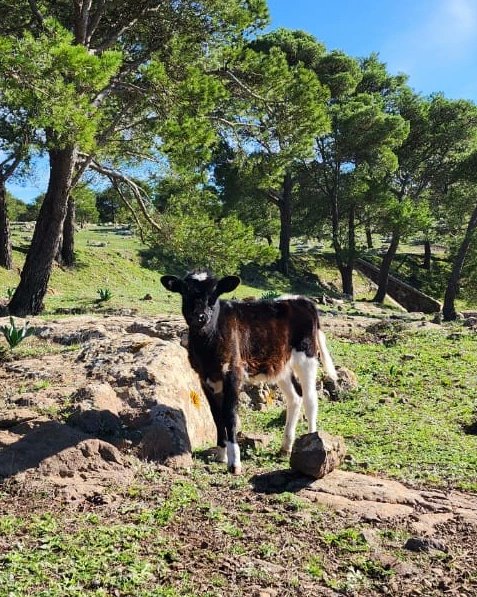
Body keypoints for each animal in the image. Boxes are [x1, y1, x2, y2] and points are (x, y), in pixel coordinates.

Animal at [162, 268, 336, 472]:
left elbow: (230, 415)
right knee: (295, 398)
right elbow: (216, 415)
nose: (200, 317)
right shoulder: (204, 377)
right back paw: (285, 447)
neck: (208, 346)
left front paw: (234, 462)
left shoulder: (233, 373)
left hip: (307, 356)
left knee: (310, 399)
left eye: (214, 294)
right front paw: (221, 454)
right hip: (280, 365)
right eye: (185, 292)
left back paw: (312, 441)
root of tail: (303, 300)